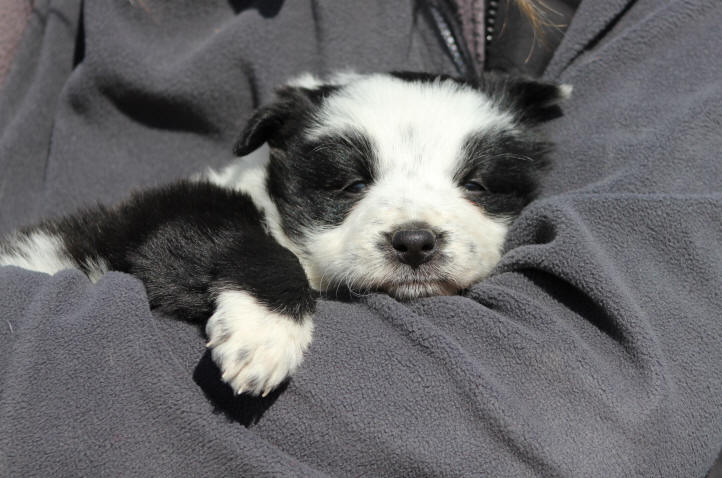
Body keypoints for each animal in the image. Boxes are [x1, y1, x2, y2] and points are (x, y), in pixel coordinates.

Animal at [2, 71, 572, 396]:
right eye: (350, 184)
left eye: (475, 184)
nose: (414, 242)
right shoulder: (168, 218)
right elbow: (251, 246)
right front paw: (264, 335)